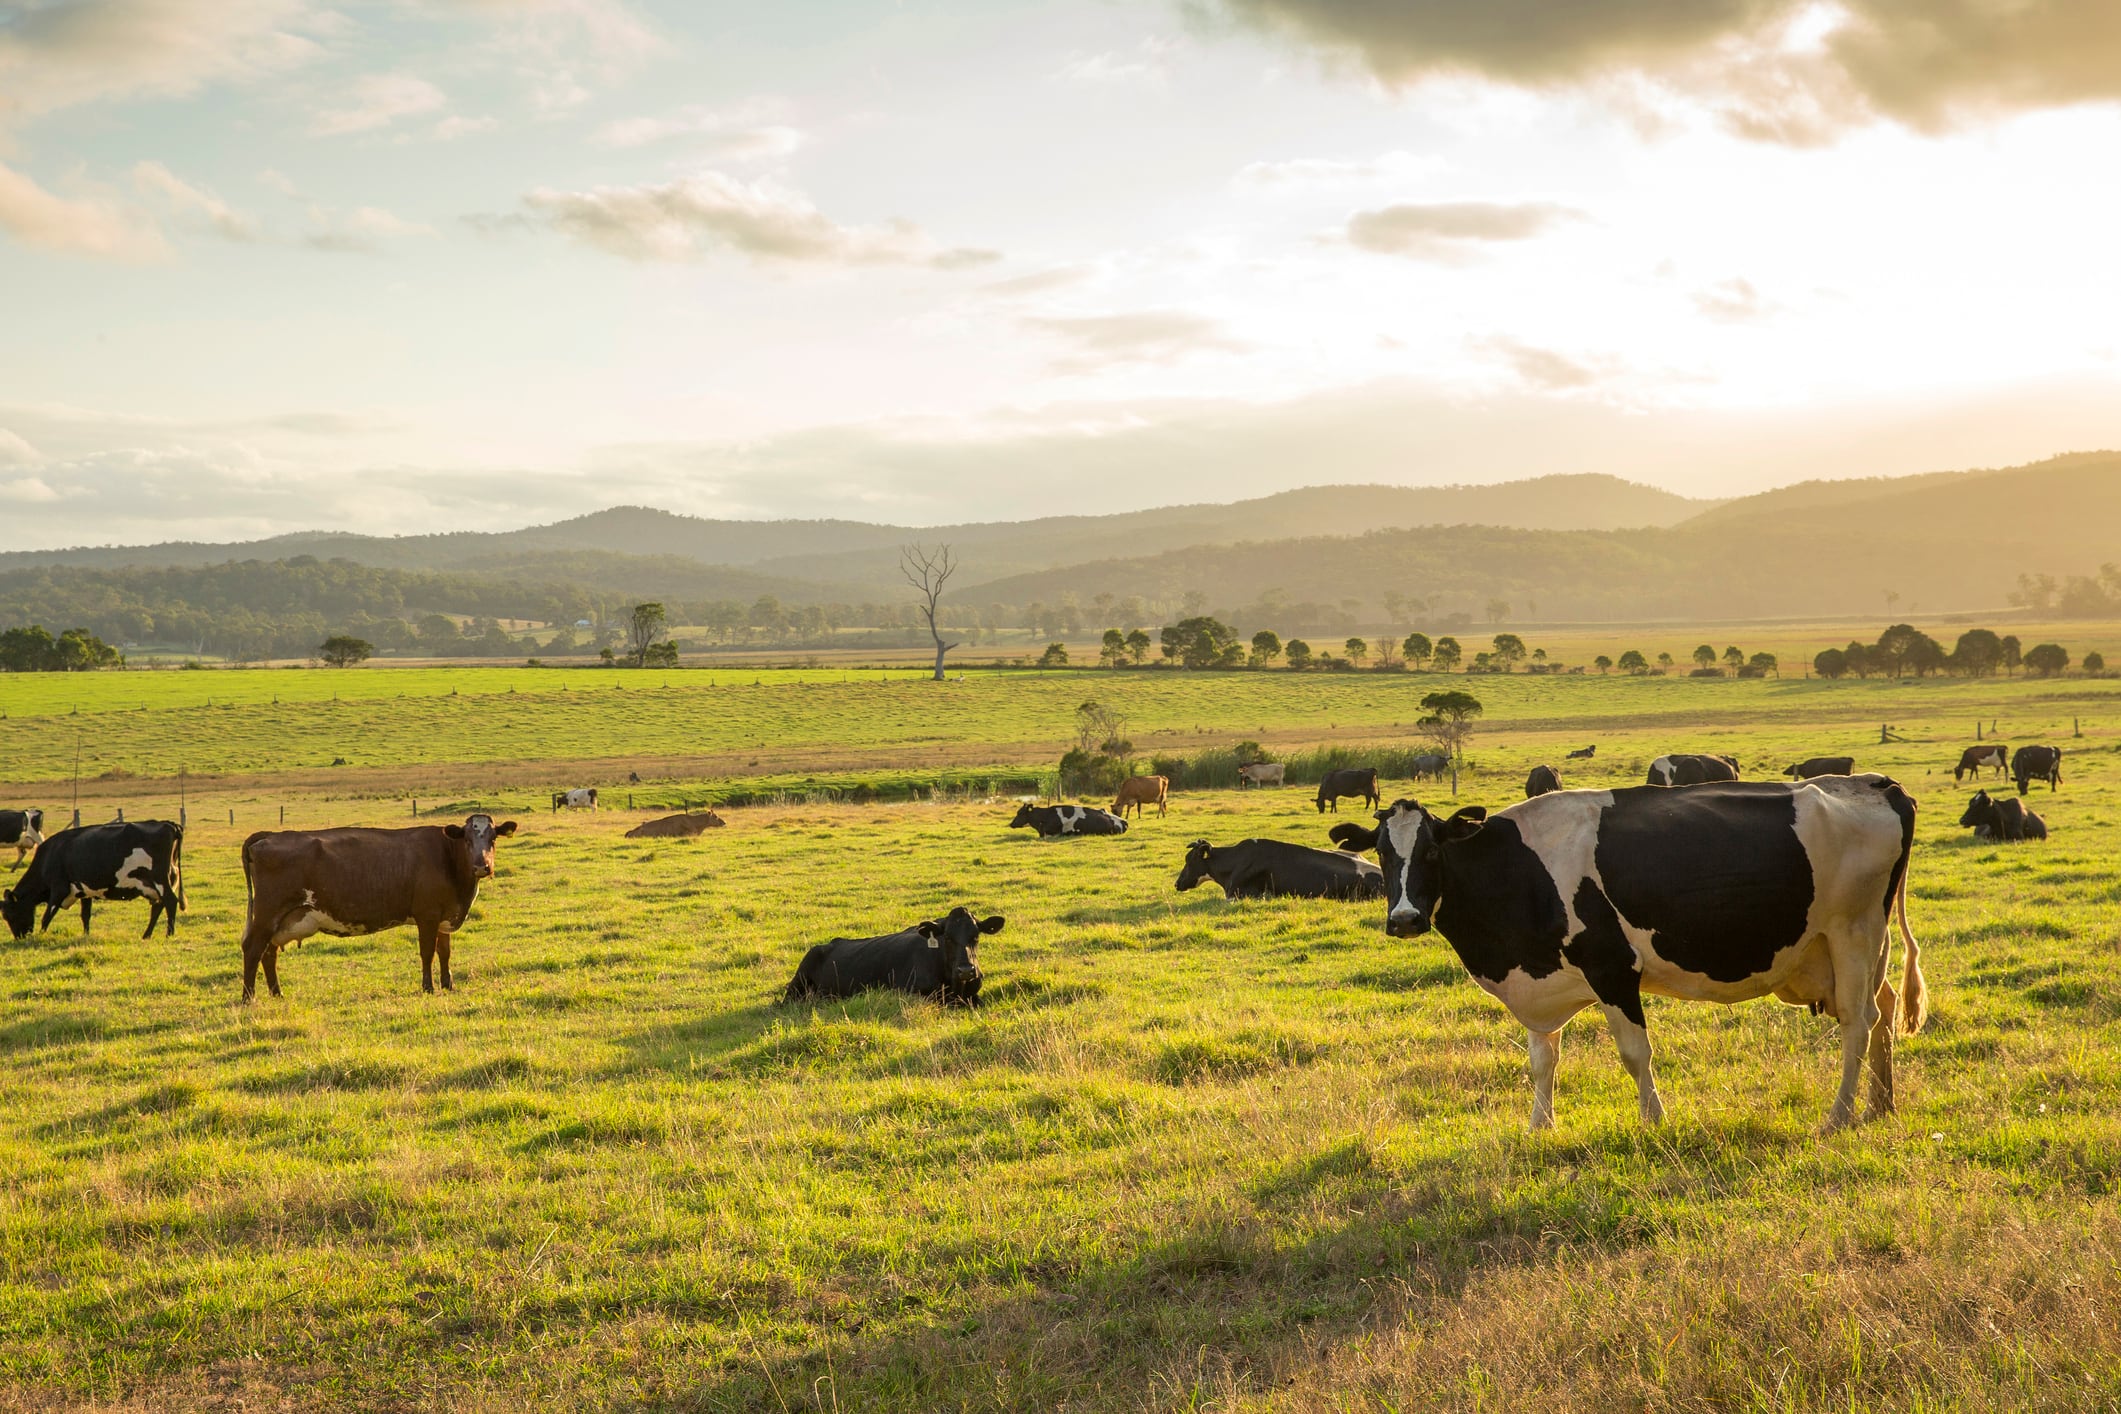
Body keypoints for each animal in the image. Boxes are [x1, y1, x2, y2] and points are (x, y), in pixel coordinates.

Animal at [0, 818, 186, 941]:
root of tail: (167, 824)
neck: (49, 856)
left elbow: (47, 915)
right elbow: (85, 915)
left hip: (159, 879)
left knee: (170, 901)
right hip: (158, 883)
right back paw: (146, 935)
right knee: (158, 905)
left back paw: (169, 934)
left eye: (9, 915)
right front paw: (86, 935)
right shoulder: (84, 891)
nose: (19, 938)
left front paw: (40, 935)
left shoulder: (59, 889)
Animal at [236, 814, 517, 1000]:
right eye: (467, 839)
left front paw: (448, 985)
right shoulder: (427, 916)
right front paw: (428, 987)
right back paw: (248, 998)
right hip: (267, 914)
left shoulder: (444, 917)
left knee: (269, 952)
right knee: (253, 949)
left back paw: (277, 993)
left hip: (281, 919)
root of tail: (271, 835)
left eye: (493, 838)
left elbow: (444, 952)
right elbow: (428, 952)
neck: (448, 857)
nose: (482, 866)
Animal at [1340, 780, 1925, 1136]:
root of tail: (1874, 783)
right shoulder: (1541, 981)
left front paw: (1653, 1120)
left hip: (1852, 932)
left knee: (1858, 1024)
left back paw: (1839, 1116)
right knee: (1884, 1010)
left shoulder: (1612, 969)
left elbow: (1634, 1054)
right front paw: (1539, 1128)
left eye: (1432, 850)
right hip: (1849, 947)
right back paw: (1881, 1105)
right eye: (1382, 853)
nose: (1405, 919)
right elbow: (1542, 1060)